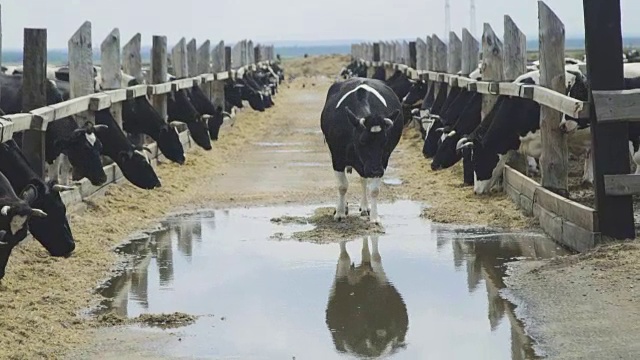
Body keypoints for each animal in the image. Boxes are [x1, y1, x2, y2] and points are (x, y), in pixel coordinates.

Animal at [322, 77, 402, 224]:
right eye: (363, 141)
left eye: (384, 141)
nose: (376, 171)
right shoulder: (337, 157)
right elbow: (342, 186)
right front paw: (340, 212)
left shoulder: (382, 161)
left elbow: (374, 190)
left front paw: (375, 217)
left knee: (363, 180)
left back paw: (365, 207)